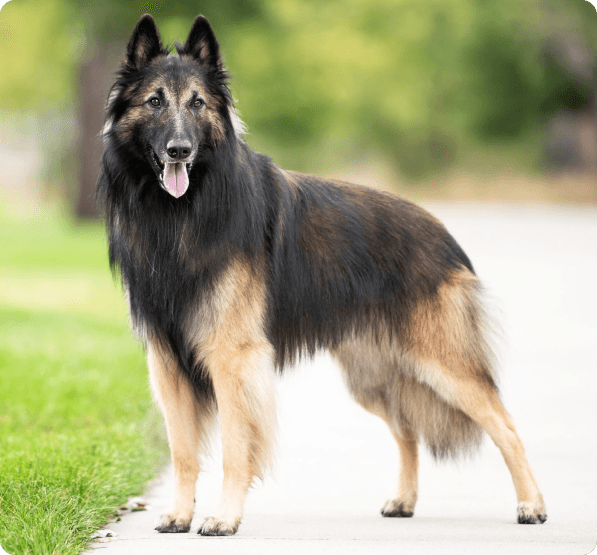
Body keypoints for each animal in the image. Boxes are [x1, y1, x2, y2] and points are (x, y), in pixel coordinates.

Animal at [96, 11, 544, 536]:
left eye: (198, 103)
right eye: (154, 101)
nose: (179, 151)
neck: (182, 214)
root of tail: (445, 236)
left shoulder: (232, 358)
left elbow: (234, 448)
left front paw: (224, 518)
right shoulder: (167, 361)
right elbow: (183, 451)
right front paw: (180, 514)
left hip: (444, 367)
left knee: (506, 426)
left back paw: (531, 505)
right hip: (374, 376)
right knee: (408, 430)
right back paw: (404, 500)